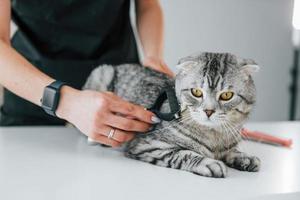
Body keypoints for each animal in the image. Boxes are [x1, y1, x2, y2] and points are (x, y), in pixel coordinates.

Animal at [84, 52, 260, 178]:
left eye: (226, 95)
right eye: (196, 92)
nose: (208, 111)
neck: (215, 136)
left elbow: (232, 151)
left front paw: (245, 158)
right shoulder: (148, 145)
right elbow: (185, 154)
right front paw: (209, 163)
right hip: (102, 72)